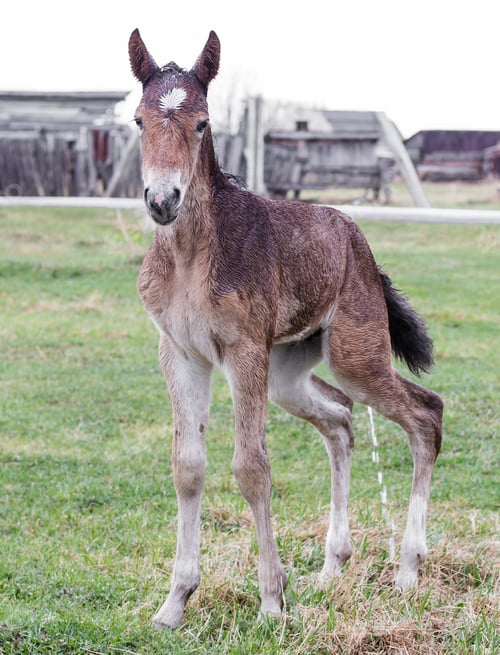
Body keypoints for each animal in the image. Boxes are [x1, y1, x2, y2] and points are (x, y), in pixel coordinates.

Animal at [128, 28, 443, 630]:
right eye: (137, 120)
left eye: (202, 123)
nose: (162, 200)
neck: (190, 256)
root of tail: (360, 243)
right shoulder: (179, 353)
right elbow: (187, 467)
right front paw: (174, 601)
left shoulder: (244, 350)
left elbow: (252, 467)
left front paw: (272, 600)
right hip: (288, 373)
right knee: (341, 419)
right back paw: (332, 565)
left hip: (355, 354)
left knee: (425, 414)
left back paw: (409, 571)